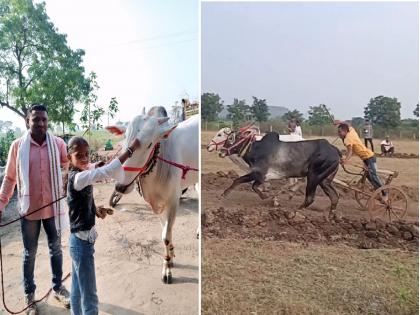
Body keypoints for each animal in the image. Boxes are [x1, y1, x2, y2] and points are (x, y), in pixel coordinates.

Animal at [106, 113, 199, 284]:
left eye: (149, 144)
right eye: (124, 138)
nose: (120, 187)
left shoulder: (173, 201)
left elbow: (166, 236)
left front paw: (167, 269)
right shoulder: (156, 205)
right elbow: (165, 232)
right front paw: (171, 257)